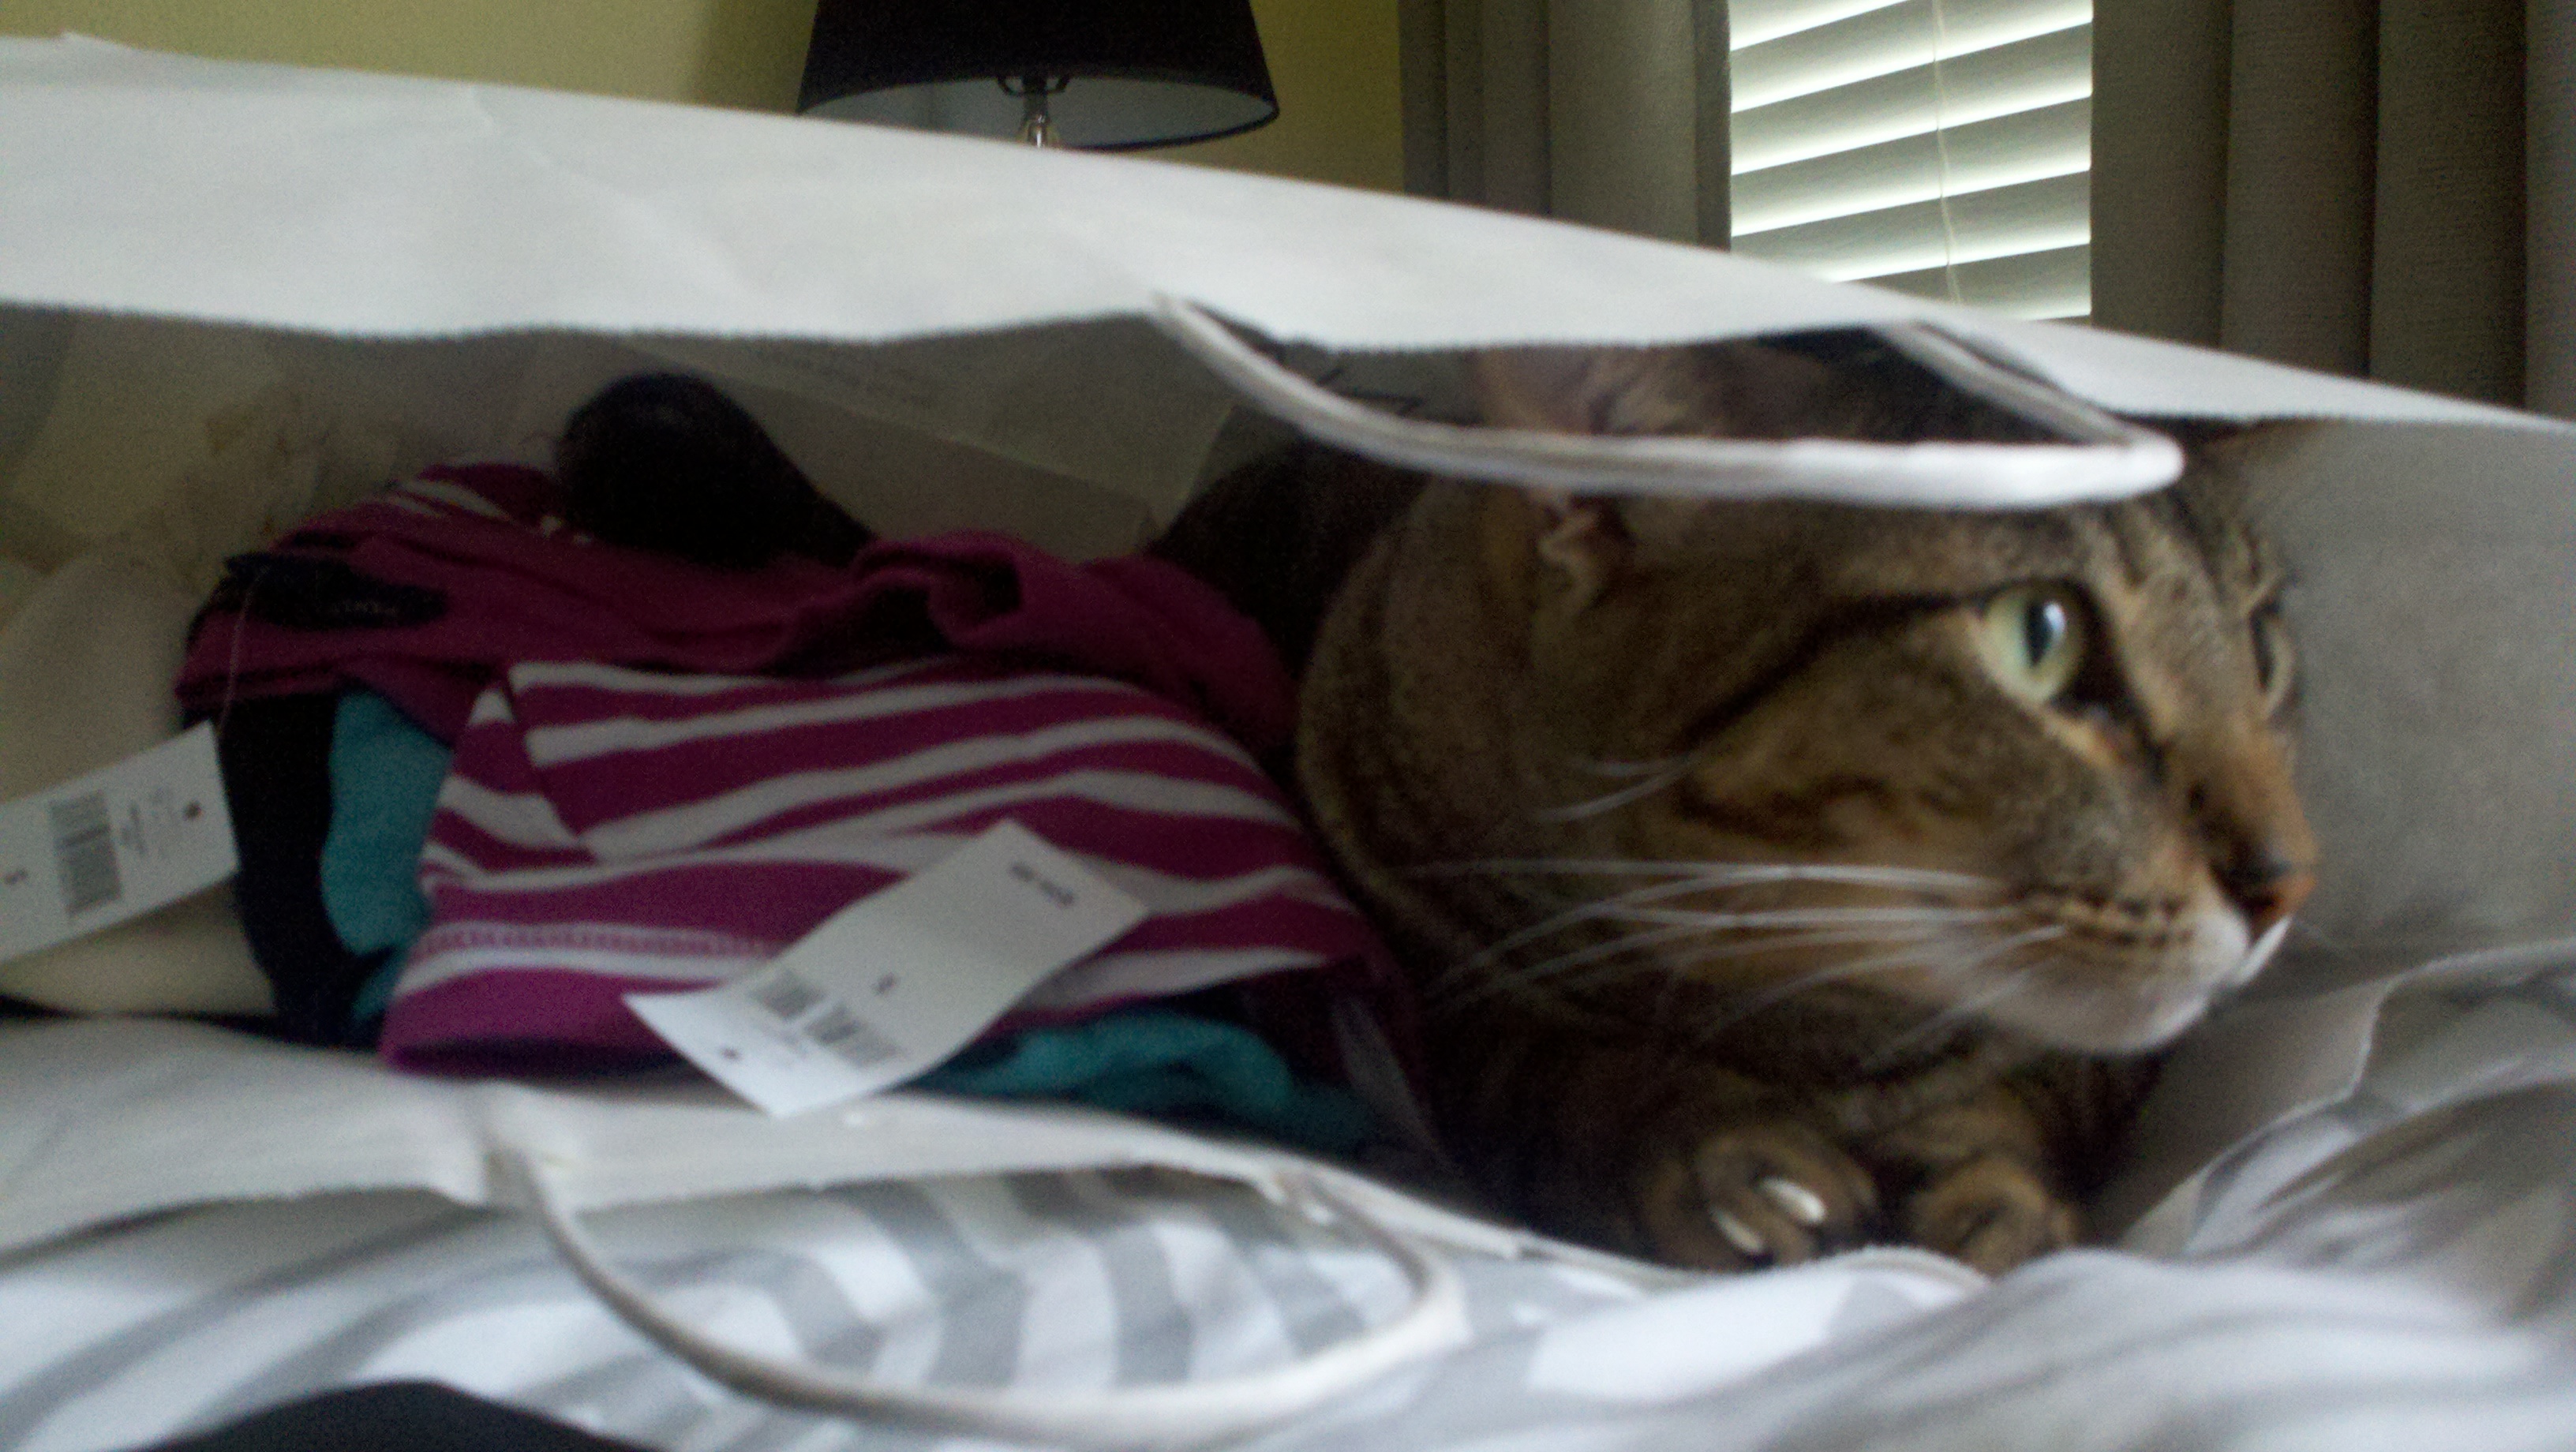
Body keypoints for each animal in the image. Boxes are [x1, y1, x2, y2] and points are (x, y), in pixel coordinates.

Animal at [1155, 331, 2316, 1274]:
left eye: (2263, 649)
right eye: (2040, 633)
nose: (2290, 884)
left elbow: (2034, 1087)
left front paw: (1989, 1182)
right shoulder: (1420, 990)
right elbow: (1543, 1065)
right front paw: (1710, 1152)